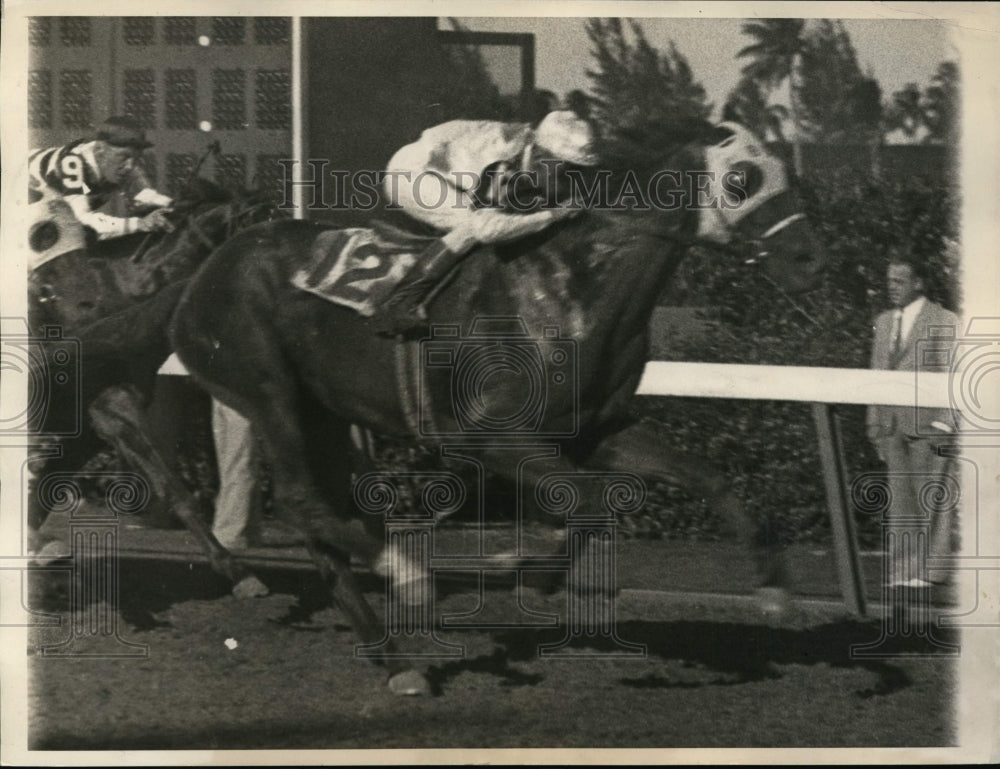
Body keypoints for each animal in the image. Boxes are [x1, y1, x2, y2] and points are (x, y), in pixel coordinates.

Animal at [170, 118, 828, 688]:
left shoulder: (597, 429)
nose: (809, 258)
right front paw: (528, 572)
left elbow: (705, 480)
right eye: (743, 177)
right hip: (266, 390)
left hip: (323, 411)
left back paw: (395, 661)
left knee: (319, 522)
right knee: (300, 498)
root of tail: (207, 267)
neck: (577, 286)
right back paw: (405, 575)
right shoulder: (487, 437)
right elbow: (591, 502)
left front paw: (775, 592)